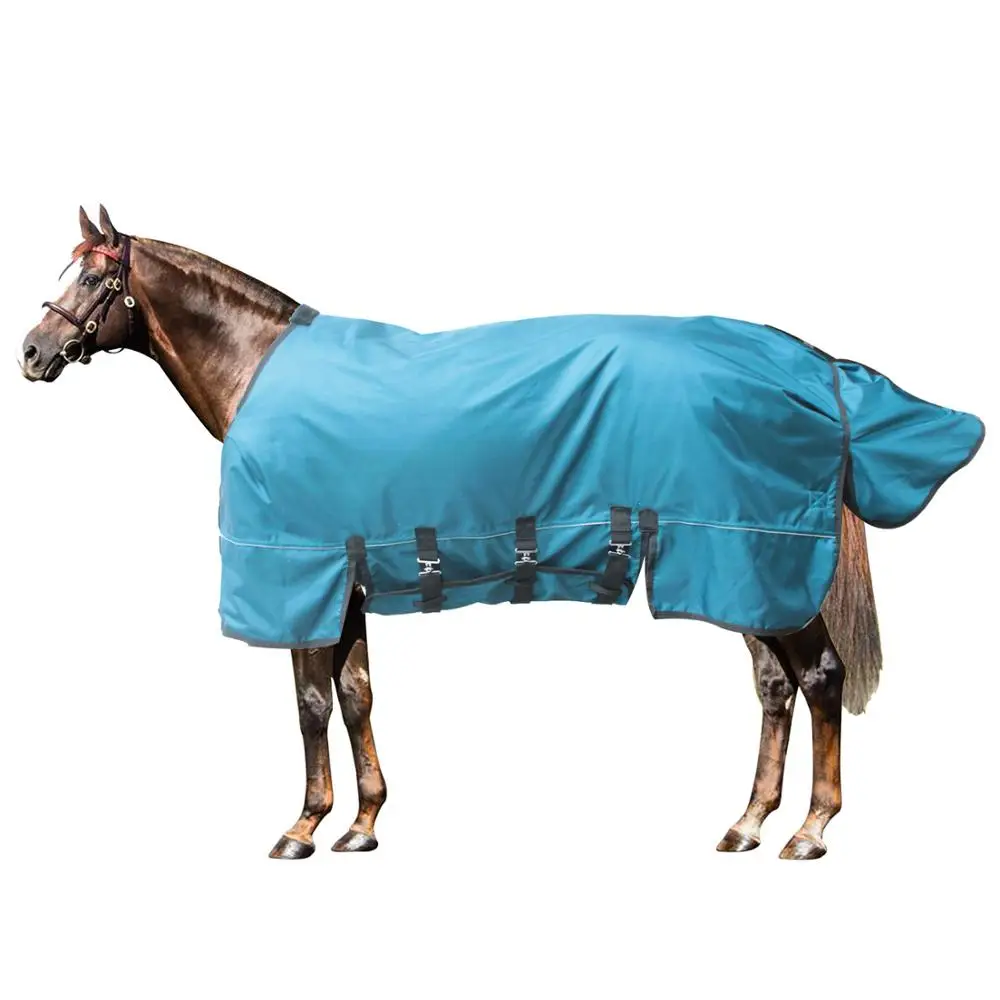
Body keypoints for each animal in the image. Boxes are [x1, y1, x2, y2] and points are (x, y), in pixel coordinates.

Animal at [20, 205, 889, 861]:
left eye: (94, 277)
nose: (31, 353)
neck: (260, 368)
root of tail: (811, 367)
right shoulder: (348, 585)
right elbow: (357, 695)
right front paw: (363, 824)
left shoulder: (301, 581)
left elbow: (310, 702)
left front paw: (303, 827)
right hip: (740, 575)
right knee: (774, 686)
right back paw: (748, 822)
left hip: (757, 560)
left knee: (821, 678)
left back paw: (811, 830)